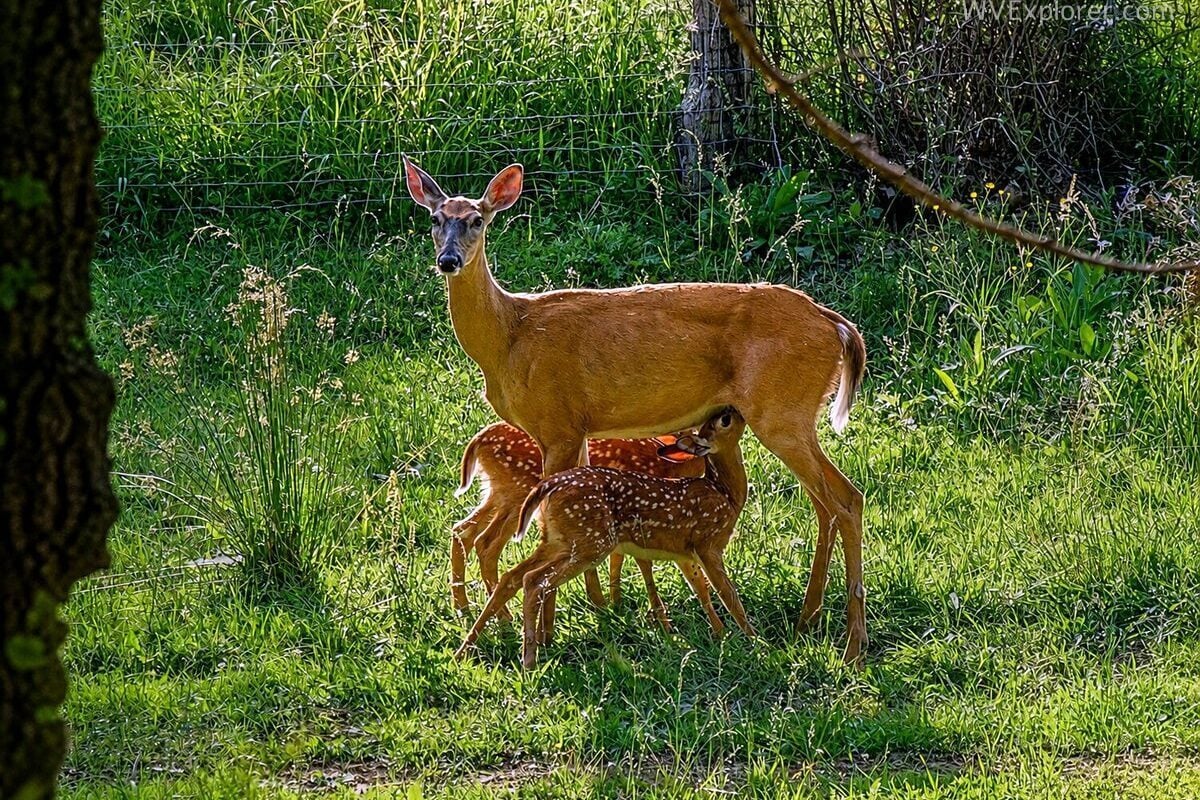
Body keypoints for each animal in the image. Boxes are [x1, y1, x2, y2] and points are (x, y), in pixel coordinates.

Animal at [455, 409, 753, 668]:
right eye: (724, 420)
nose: (733, 410)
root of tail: (479, 439)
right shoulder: (690, 541)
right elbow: (720, 590)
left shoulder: (671, 543)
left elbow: (696, 584)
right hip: (529, 505)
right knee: (495, 550)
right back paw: (517, 642)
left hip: (531, 519)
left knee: (477, 542)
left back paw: (477, 632)